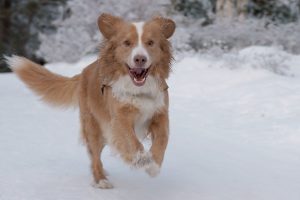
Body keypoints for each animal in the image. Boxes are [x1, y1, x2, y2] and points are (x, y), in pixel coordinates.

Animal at [5, 13, 176, 188]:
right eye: (127, 43)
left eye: (151, 43)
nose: (140, 59)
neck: (139, 90)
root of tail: (83, 72)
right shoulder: (119, 118)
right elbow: (130, 140)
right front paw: (141, 159)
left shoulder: (160, 113)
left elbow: (163, 139)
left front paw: (154, 166)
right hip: (93, 128)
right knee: (94, 157)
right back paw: (101, 180)